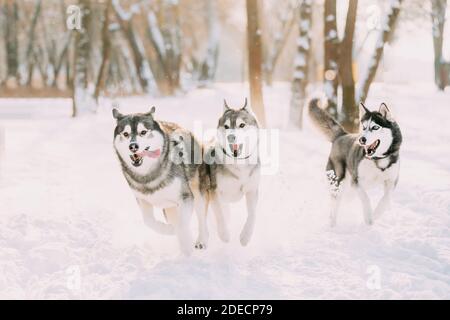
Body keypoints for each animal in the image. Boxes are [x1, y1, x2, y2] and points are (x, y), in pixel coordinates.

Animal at [112, 107, 211, 255]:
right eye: (125, 133)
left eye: (143, 132)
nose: (133, 146)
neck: (148, 175)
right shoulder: (143, 200)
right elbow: (149, 221)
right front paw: (169, 230)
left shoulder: (186, 197)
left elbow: (182, 225)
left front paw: (187, 247)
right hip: (169, 208)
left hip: (197, 193)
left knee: (202, 219)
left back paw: (201, 241)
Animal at [204, 99, 260, 246]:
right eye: (226, 126)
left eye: (242, 125)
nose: (231, 137)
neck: (238, 164)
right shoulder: (215, 191)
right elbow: (219, 215)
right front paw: (224, 234)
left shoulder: (252, 190)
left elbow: (252, 214)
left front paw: (245, 236)